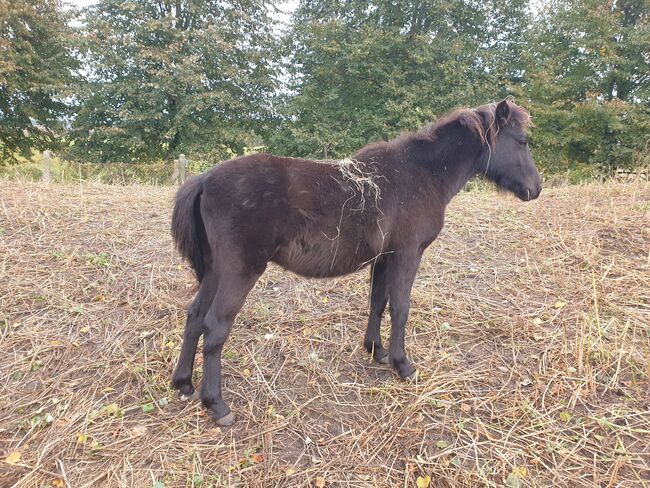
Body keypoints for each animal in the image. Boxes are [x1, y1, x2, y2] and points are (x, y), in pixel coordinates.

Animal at [170, 98, 540, 424]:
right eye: (521, 141)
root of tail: (203, 180)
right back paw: (217, 405)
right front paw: (403, 365)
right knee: (215, 326)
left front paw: (376, 351)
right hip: (240, 272)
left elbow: (378, 302)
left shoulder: (384, 258)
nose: (535, 189)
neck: (421, 174)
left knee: (195, 316)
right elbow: (401, 308)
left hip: (215, 271)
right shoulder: (407, 255)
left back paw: (183, 384)